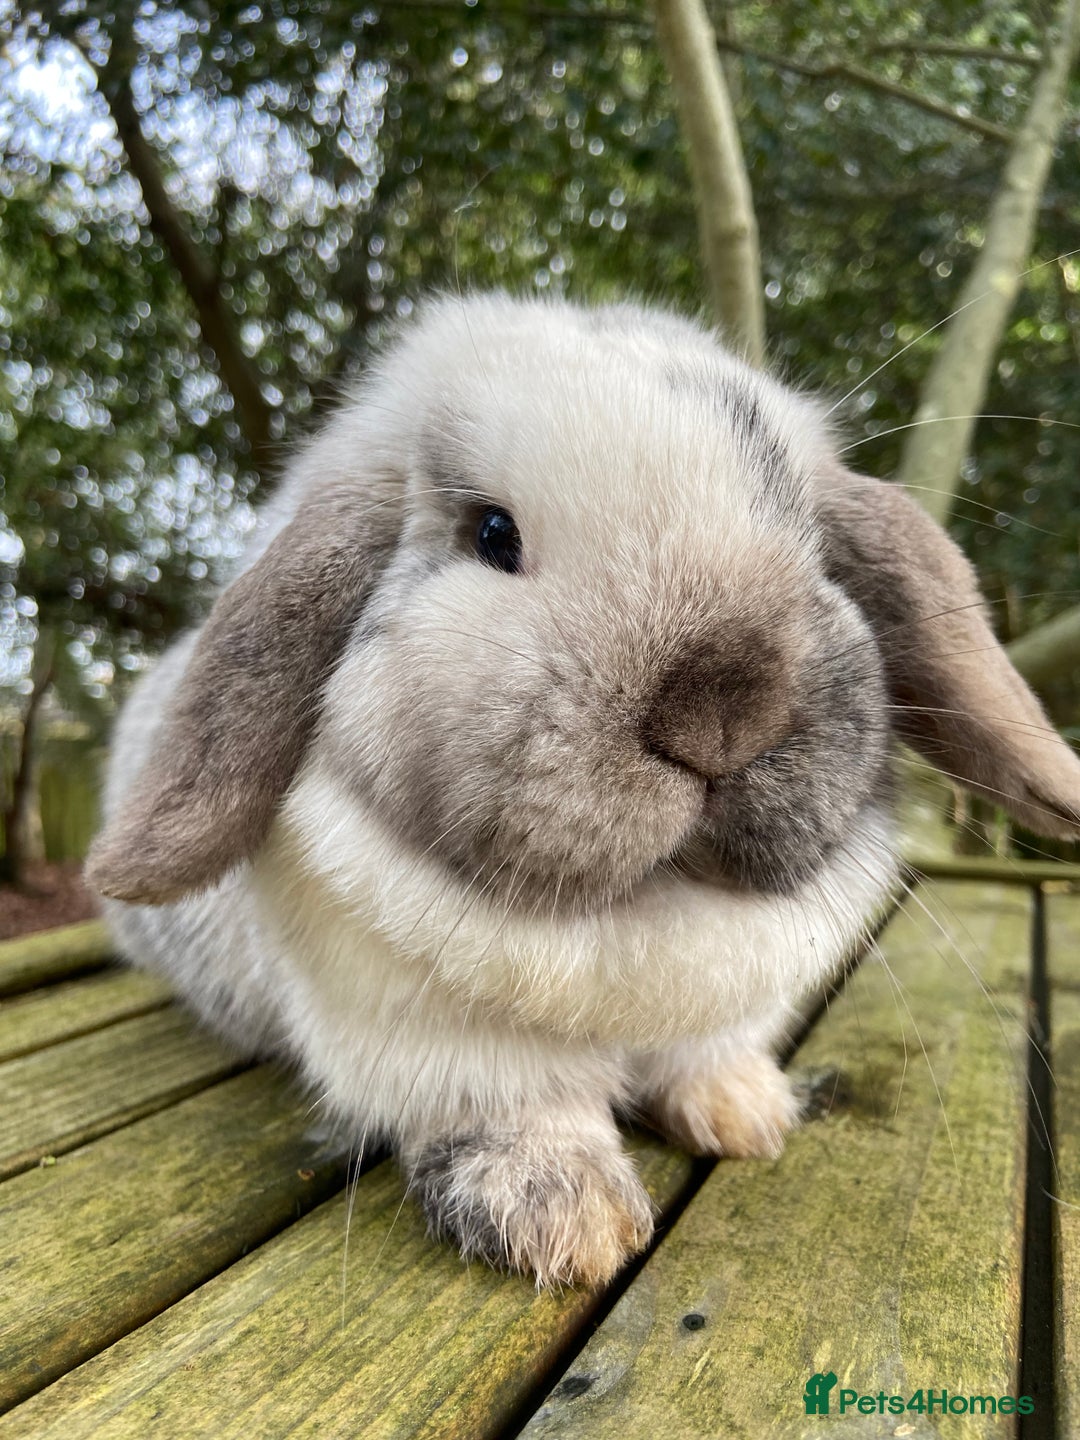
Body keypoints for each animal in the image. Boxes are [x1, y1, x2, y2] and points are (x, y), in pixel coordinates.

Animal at [87, 292, 1080, 1287]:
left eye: (820, 551)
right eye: (493, 534)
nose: (722, 709)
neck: (636, 915)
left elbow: (709, 1055)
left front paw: (745, 1116)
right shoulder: (429, 1038)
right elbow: (514, 1109)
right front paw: (567, 1218)